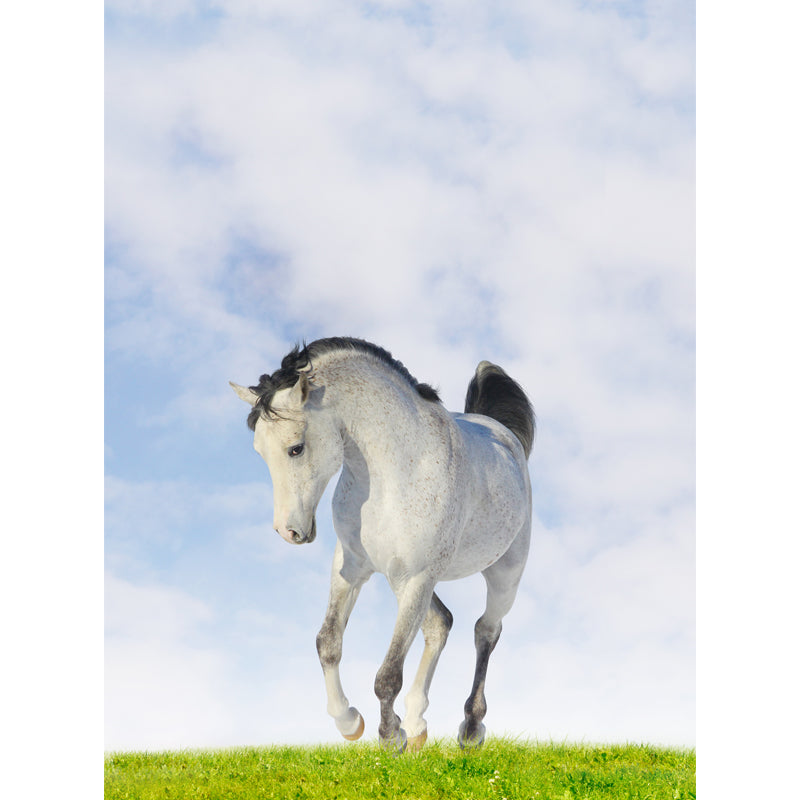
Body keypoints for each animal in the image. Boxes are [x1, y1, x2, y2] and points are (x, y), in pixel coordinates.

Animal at [231, 337, 534, 751]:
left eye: (296, 448)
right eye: (260, 451)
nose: (288, 531)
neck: (397, 470)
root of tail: (503, 434)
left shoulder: (419, 578)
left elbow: (388, 674)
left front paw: (390, 737)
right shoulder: (352, 567)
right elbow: (328, 643)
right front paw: (350, 722)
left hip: (502, 575)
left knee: (485, 631)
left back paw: (470, 728)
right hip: (399, 581)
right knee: (440, 624)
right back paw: (419, 723)